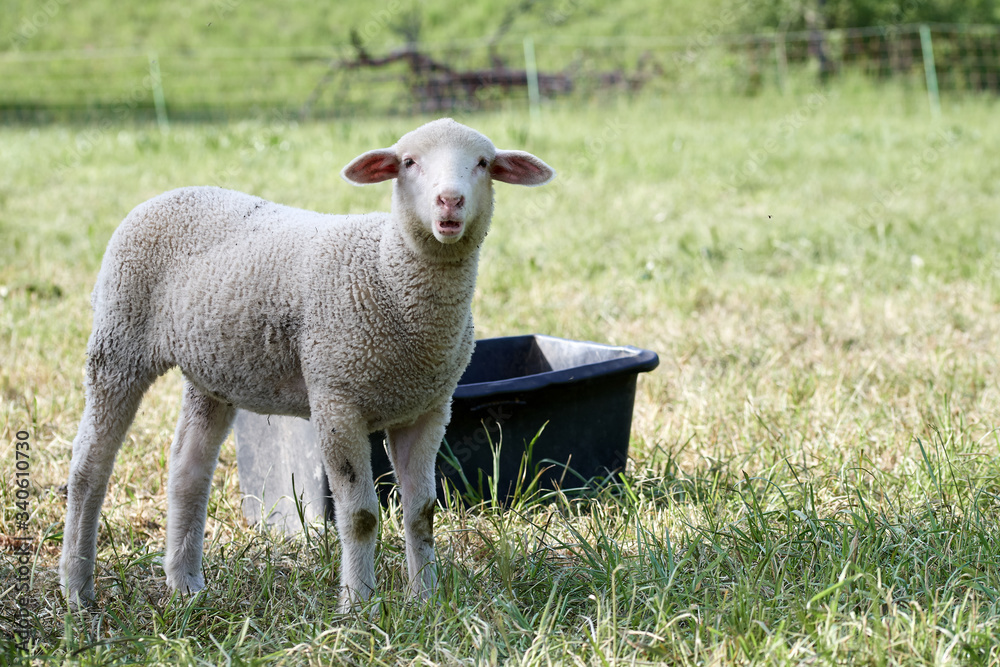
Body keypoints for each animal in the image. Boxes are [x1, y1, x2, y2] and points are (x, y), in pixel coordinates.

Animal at [59, 118, 555, 611]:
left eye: (483, 163)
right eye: (409, 162)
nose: (450, 201)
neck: (388, 273)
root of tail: (168, 193)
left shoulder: (429, 409)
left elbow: (422, 512)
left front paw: (426, 601)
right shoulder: (337, 400)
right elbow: (360, 516)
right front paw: (358, 606)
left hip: (212, 370)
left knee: (187, 466)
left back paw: (185, 584)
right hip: (119, 342)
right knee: (89, 465)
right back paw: (77, 588)